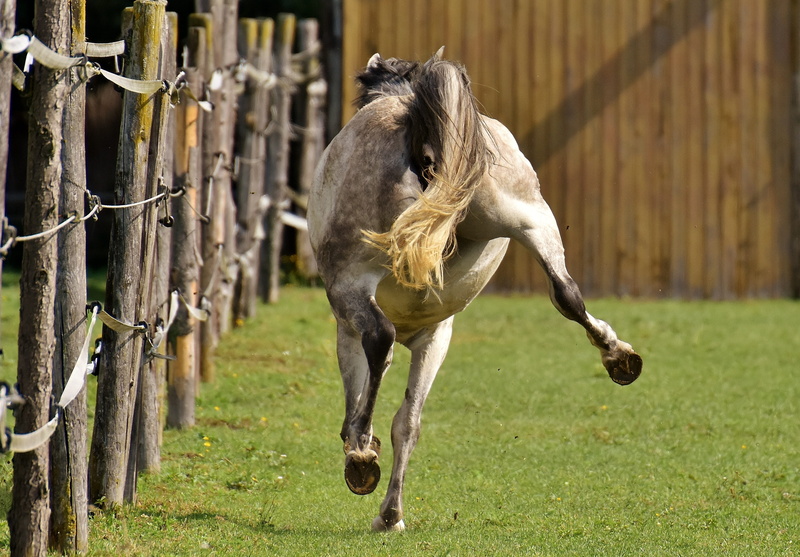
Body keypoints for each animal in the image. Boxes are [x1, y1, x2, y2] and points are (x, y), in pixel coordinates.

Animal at [307, 49, 643, 532]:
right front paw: (391, 515)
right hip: (531, 220)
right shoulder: (436, 337)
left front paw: (362, 456)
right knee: (566, 293)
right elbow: (408, 424)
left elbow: (364, 398)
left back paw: (361, 460)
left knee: (380, 337)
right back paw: (619, 357)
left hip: (352, 284)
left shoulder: (349, 332)